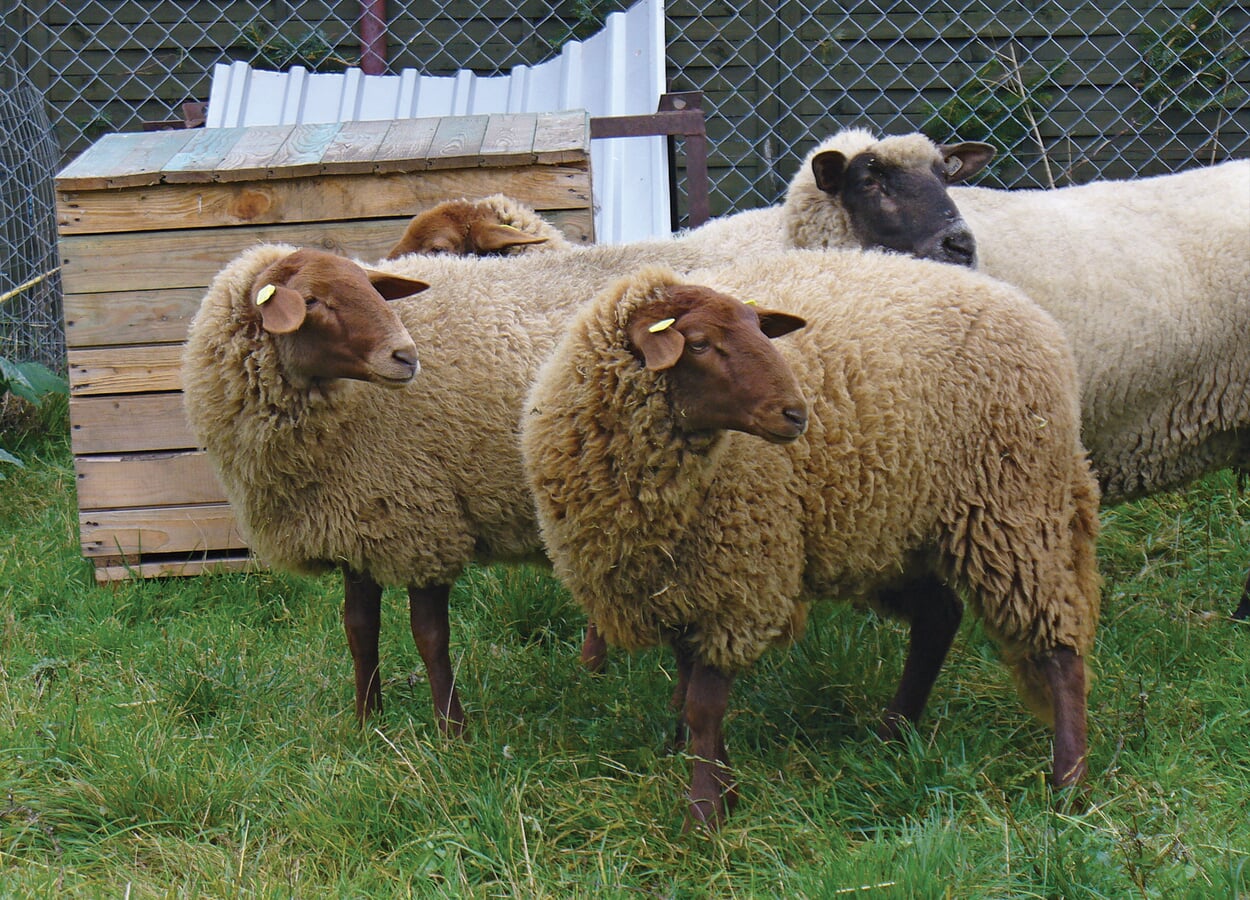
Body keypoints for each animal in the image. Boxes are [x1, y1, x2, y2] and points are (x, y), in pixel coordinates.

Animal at [182, 223, 810, 730]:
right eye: (312, 301)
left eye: (369, 291)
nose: (404, 356)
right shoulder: (359, 523)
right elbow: (359, 631)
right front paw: (366, 723)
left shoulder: (422, 519)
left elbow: (429, 636)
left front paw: (451, 731)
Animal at [522, 252, 1100, 830]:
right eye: (701, 343)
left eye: (759, 329)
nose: (796, 413)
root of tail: (1034, 313)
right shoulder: (681, 584)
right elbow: (689, 692)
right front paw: (720, 784)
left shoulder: (739, 580)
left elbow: (703, 706)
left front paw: (705, 814)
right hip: (892, 532)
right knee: (940, 616)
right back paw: (893, 734)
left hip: (1014, 512)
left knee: (1060, 650)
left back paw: (1069, 784)